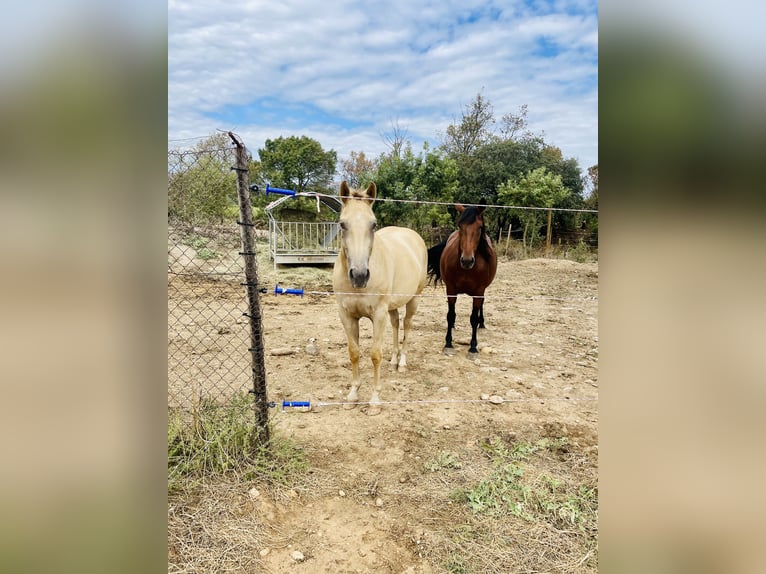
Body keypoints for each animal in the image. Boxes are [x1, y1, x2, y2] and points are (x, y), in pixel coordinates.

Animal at [332, 182, 428, 416]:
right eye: (342, 224)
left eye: (373, 224)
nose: (359, 275)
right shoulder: (346, 315)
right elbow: (354, 353)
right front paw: (353, 395)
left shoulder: (378, 314)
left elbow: (375, 354)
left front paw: (375, 400)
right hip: (392, 307)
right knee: (395, 324)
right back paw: (393, 361)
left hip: (413, 300)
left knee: (407, 325)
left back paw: (402, 363)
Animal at [426, 202, 498, 356]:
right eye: (460, 226)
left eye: (480, 227)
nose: (467, 260)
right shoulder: (451, 289)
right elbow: (450, 315)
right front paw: (448, 343)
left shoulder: (479, 292)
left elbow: (474, 319)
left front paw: (473, 346)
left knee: (482, 306)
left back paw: (482, 323)